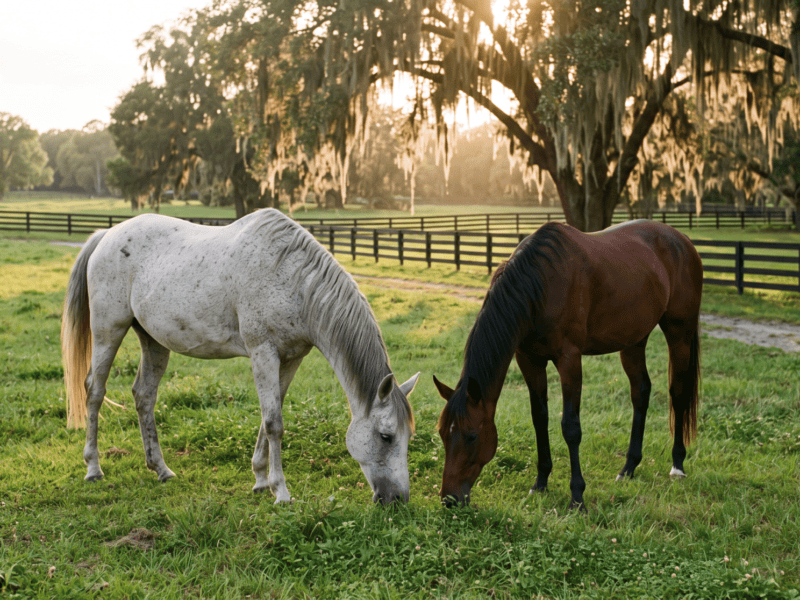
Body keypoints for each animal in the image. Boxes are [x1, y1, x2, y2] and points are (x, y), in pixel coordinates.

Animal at [61, 209, 419, 504]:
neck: (292, 279)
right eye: (386, 436)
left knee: (144, 395)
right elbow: (274, 422)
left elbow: (269, 416)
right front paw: (281, 492)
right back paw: (93, 468)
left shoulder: (291, 359)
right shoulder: (263, 352)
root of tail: (107, 234)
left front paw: (260, 480)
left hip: (153, 340)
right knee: (94, 391)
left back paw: (161, 469)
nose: (397, 499)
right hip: (109, 330)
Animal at [433, 220, 702, 510]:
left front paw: (577, 497)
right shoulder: (529, 360)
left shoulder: (569, 360)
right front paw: (540, 483)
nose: (449, 499)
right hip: (633, 340)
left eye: (471, 435)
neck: (539, 285)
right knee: (641, 392)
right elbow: (539, 418)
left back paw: (677, 465)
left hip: (679, 332)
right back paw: (628, 468)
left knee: (678, 393)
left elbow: (571, 427)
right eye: (442, 433)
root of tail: (683, 240)